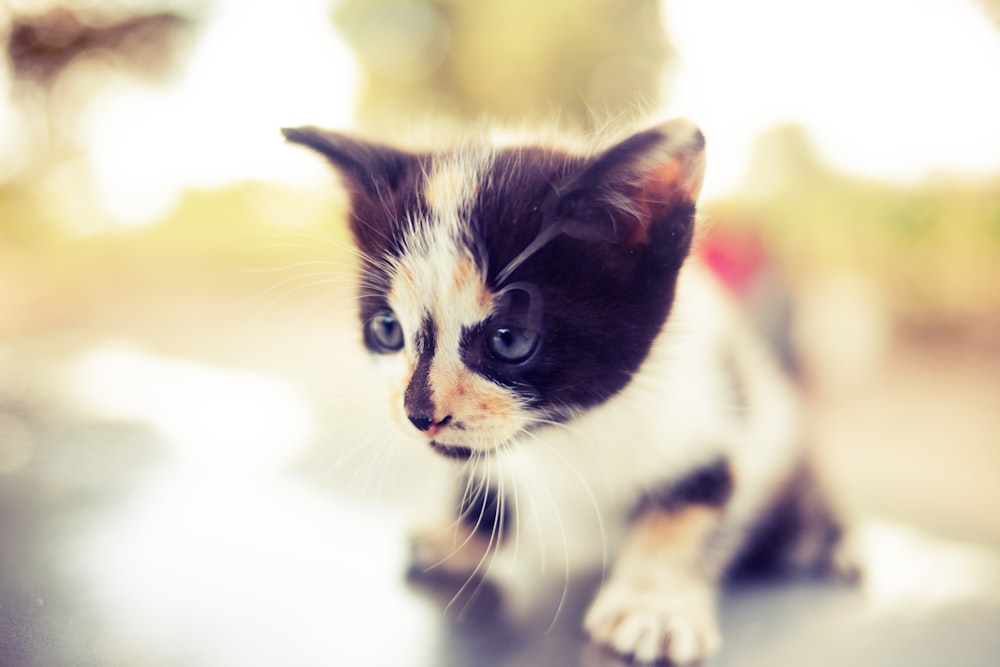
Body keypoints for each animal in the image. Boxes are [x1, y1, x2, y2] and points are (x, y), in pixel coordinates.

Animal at [282, 118, 844, 664]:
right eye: (387, 331)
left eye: (509, 340)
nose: (419, 414)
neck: (568, 433)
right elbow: (483, 479)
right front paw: (458, 533)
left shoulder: (711, 412)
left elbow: (689, 504)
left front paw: (654, 604)